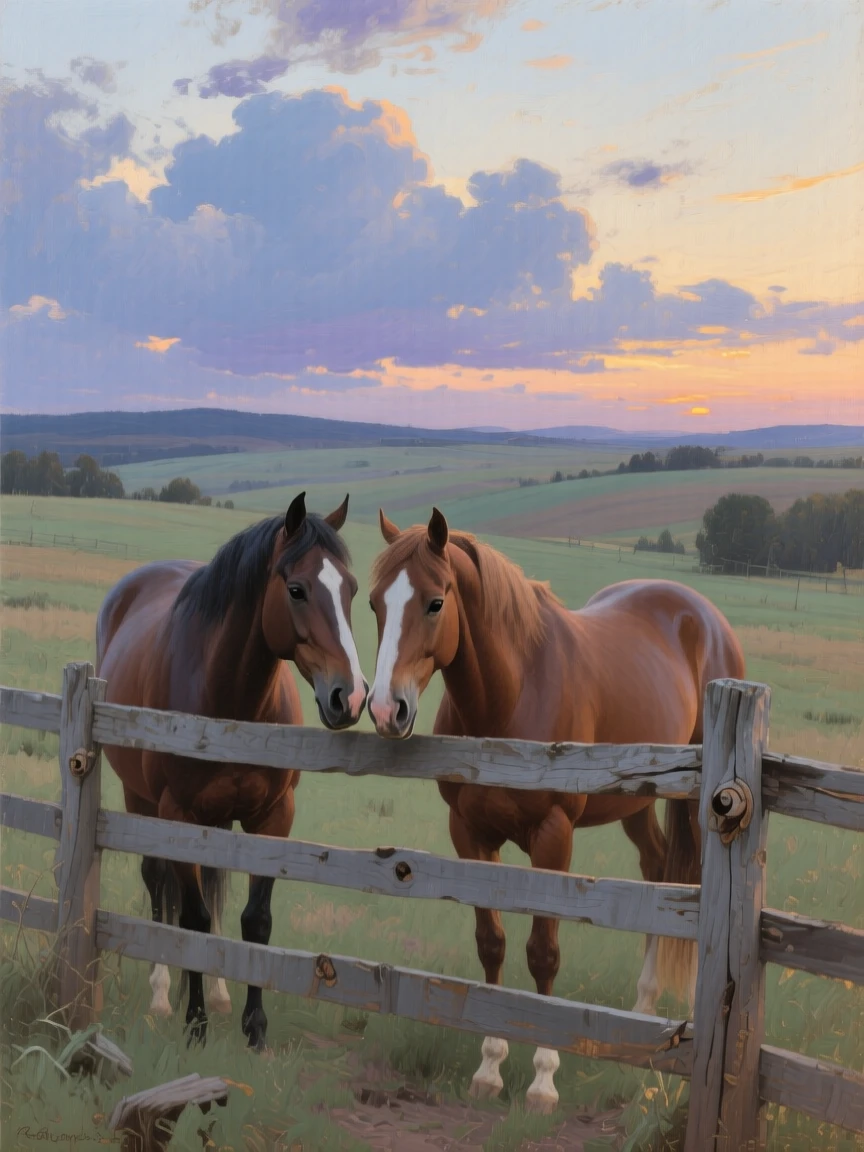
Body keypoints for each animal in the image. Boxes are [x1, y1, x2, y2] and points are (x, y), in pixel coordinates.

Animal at [95, 492, 367, 1050]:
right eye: (296, 589)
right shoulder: (179, 815)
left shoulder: (273, 818)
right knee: (157, 883)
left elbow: (255, 920)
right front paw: (195, 1022)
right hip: (144, 801)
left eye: (351, 588)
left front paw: (254, 1027)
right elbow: (193, 917)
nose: (349, 697)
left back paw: (220, 993)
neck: (232, 704)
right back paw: (162, 992)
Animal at [366, 507, 745, 1112]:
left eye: (434, 602)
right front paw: (490, 1066)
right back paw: (641, 1011)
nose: (385, 708)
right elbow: (492, 943)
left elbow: (543, 951)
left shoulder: (553, 836)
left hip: (694, 805)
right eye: (375, 602)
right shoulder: (470, 834)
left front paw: (543, 1078)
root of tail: (705, 618)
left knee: (686, 884)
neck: (513, 693)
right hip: (636, 803)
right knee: (656, 869)